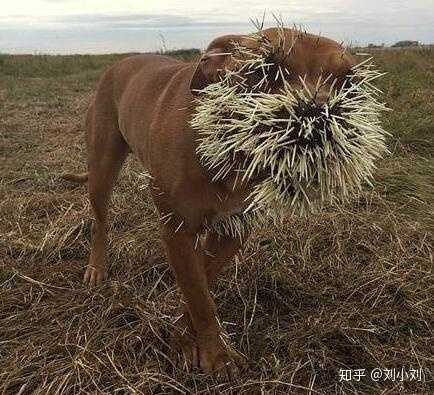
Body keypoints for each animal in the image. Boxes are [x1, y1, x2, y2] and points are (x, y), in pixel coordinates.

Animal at [63, 27, 356, 374]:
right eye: (266, 68)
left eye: (349, 82)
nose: (317, 116)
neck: (232, 152)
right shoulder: (178, 230)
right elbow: (199, 296)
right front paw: (217, 355)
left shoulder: (233, 230)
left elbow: (200, 283)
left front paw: (185, 337)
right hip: (102, 167)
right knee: (100, 221)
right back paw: (97, 267)